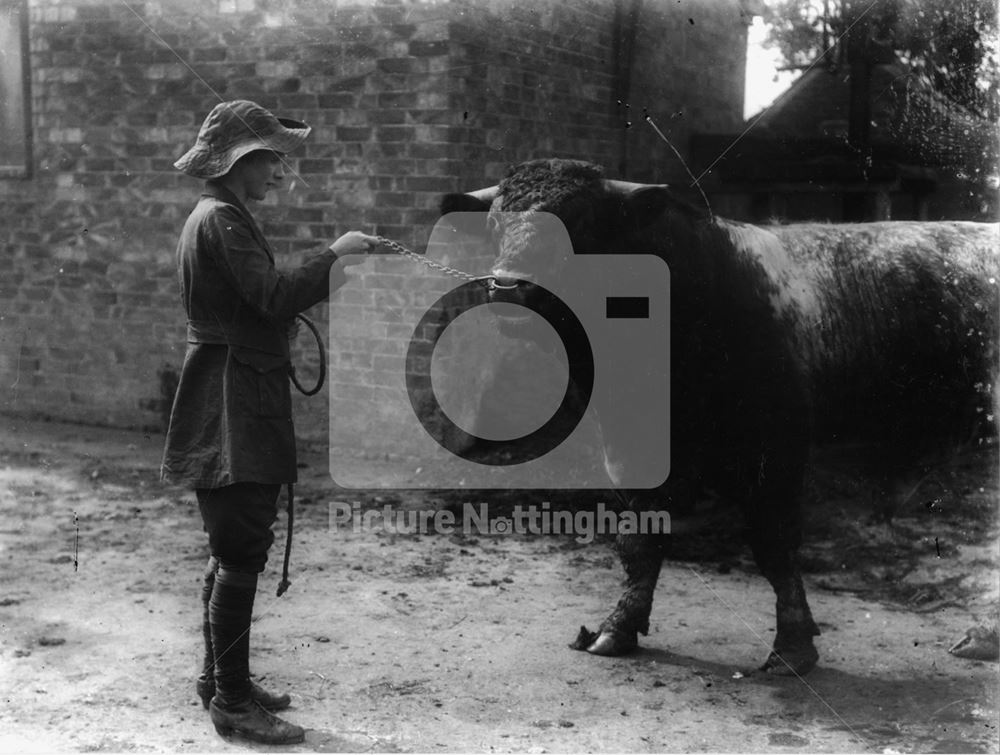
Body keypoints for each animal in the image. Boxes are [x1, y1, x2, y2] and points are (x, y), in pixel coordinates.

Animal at [440, 157, 1000, 676]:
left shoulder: (776, 448)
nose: (509, 288)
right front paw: (616, 628)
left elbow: (774, 545)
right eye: (494, 224)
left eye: (580, 222)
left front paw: (793, 646)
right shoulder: (632, 447)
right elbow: (639, 541)